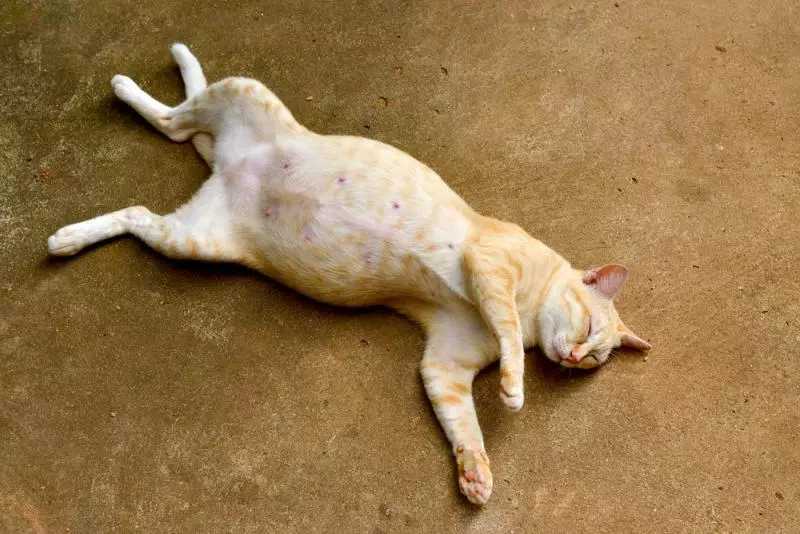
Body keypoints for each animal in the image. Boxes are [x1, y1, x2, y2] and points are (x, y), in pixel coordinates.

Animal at [47, 44, 651, 505]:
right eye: (588, 331)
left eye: (593, 360)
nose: (575, 358)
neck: (533, 317)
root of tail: (226, 167)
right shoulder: (488, 266)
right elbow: (505, 336)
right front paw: (513, 386)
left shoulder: (445, 364)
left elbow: (463, 423)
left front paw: (475, 471)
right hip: (244, 91)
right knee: (175, 117)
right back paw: (134, 82)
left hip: (193, 240)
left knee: (144, 198)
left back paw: (69, 238)